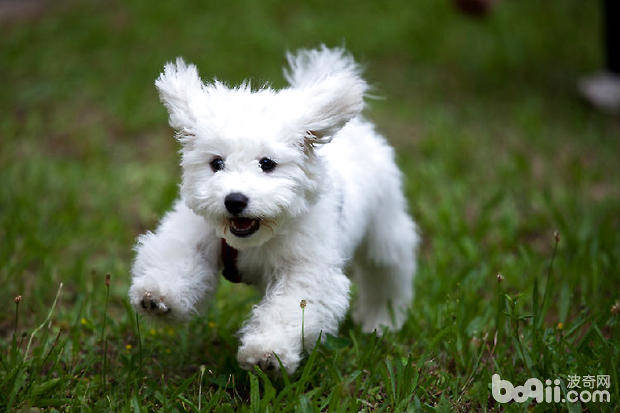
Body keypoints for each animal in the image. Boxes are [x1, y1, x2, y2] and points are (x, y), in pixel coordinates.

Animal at [128, 45, 418, 374]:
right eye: (217, 163)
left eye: (267, 163)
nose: (235, 200)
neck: (256, 239)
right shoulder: (195, 233)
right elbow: (177, 259)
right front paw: (157, 295)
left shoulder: (306, 268)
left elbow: (290, 308)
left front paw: (267, 353)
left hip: (385, 229)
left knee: (387, 273)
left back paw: (382, 321)